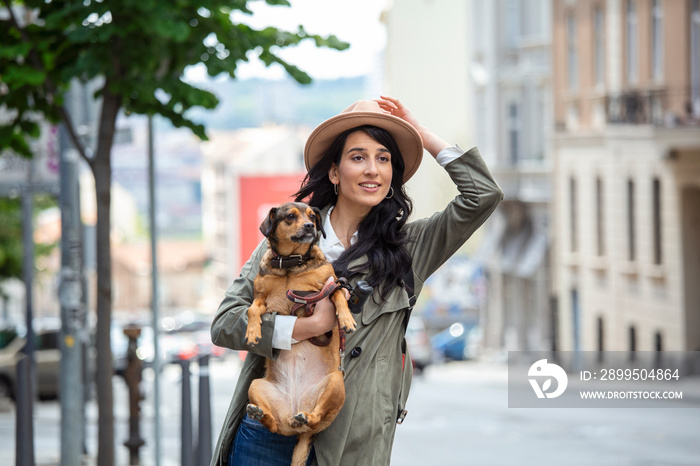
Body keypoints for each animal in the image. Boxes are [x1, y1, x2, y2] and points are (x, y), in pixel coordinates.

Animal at [245, 201, 356, 466]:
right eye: (290, 217)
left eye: (312, 216)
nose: (309, 226)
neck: (291, 265)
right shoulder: (261, 298)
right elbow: (252, 309)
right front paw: (253, 332)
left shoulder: (330, 285)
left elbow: (339, 295)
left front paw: (346, 319)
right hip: (256, 386)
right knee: (274, 426)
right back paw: (259, 414)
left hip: (335, 383)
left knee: (315, 418)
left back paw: (306, 417)